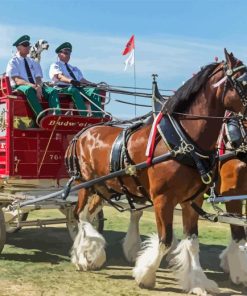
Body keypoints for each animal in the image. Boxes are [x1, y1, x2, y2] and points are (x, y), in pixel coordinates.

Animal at [65, 49, 247, 294]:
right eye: (243, 81)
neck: (183, 141)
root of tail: (82, 132)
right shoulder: (165, 199)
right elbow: (165, 240)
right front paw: (146, 275)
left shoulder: (193, 200)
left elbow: (192, 242)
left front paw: (198, 282)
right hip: (86, 184)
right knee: (79, 216)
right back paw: (83, 257)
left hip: (105, 187)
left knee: (90, 214)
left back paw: (91, 254)